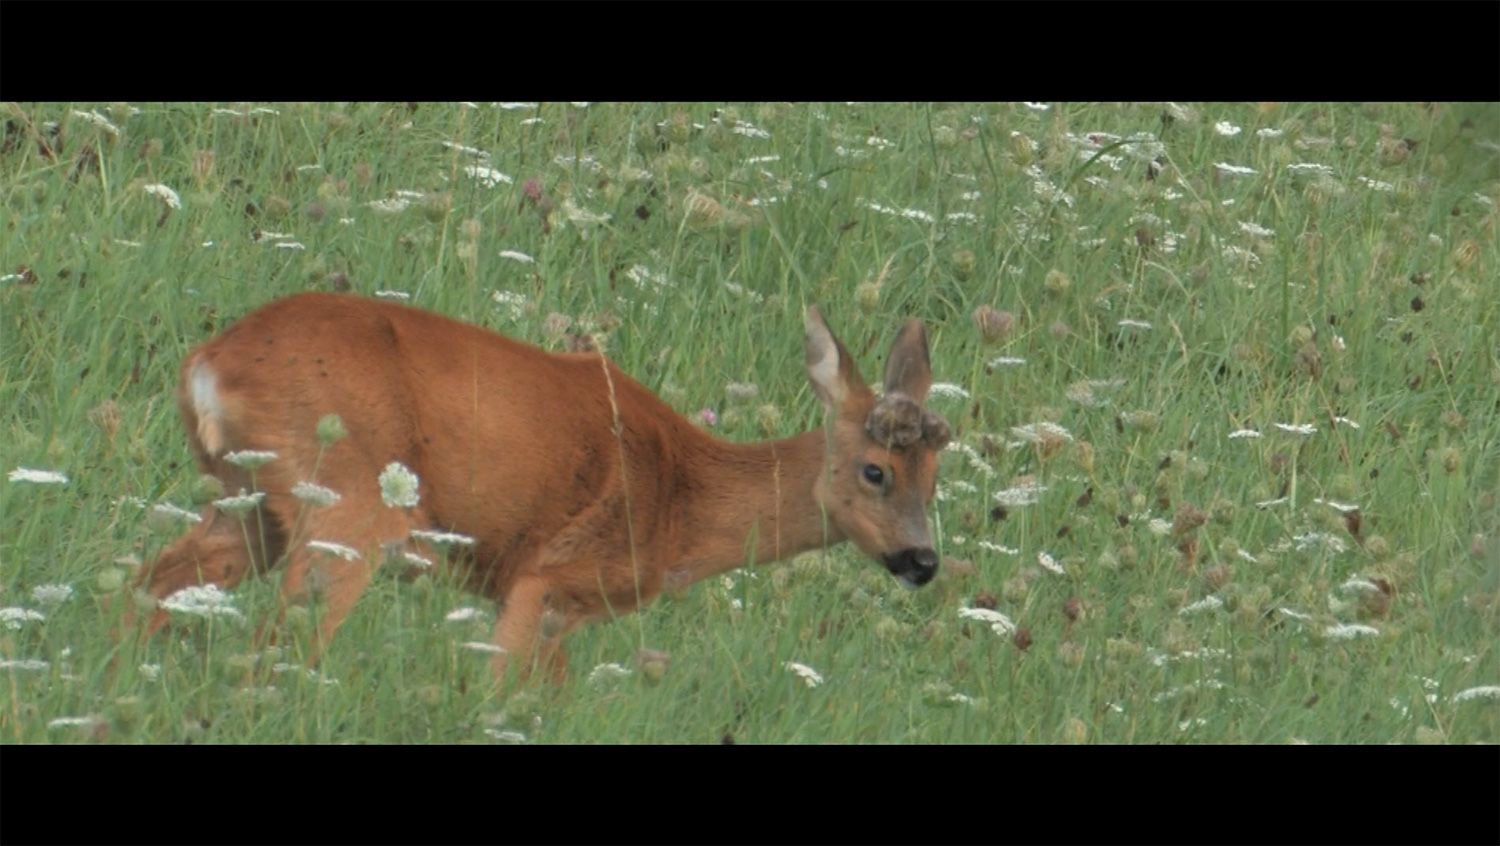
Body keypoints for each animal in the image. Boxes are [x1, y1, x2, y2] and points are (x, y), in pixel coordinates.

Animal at [126, 292, 951, 684]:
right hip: (346, 508)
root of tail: (208, 361)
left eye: (937, 478)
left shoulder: (564, 611)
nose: (922, 561)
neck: (685, 501)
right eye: (875, 470)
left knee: (146, 590)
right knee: (280, 641)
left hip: (249, 504)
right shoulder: (550, 578)